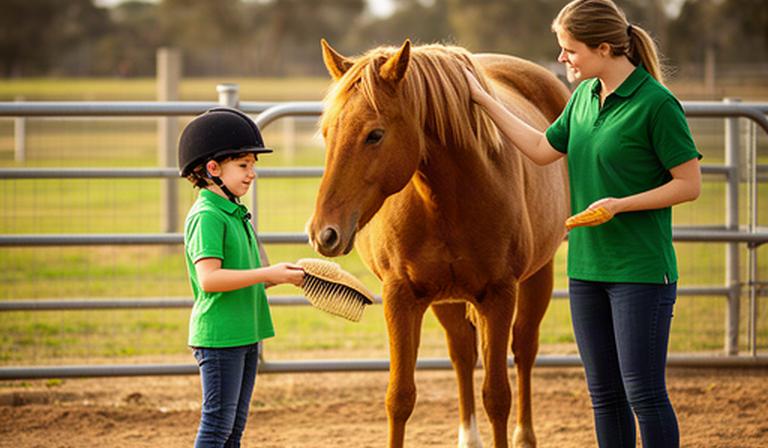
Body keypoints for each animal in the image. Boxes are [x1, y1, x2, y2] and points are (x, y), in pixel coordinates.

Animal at [307, 39, 570, 448]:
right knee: (461, 352)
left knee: (525, 349)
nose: (324, 233)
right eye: (326, 133)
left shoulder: (499, 296)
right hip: (446, 299)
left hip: (537, 278)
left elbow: (497, 396)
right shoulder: (401, 296)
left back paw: (524, 436)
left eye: (375, 134)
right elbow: (399, 397)